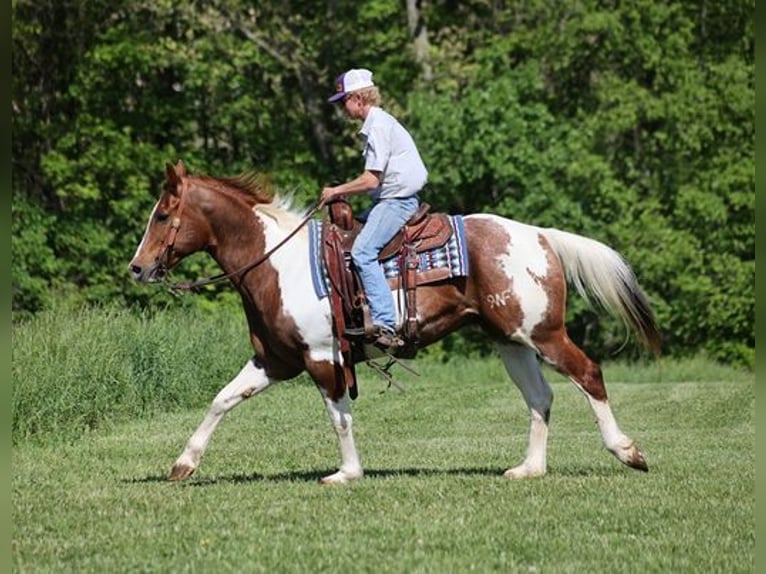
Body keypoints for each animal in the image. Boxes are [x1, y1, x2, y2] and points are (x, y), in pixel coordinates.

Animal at [128, 160, 661, 484]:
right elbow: (222, 400)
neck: (278, 263)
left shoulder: (322, 355)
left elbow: (338, 416)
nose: (137, 268)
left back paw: (627, 452)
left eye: (163, 215)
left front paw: (346, 473)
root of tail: (541, 235)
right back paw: (529, 468)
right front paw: (183, 464)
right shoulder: (274, 360)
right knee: (540, 397)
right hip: (510, 340)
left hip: (543, 334)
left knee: (588, 375)